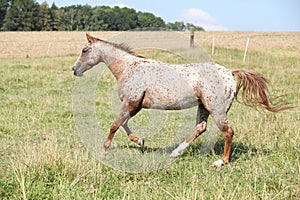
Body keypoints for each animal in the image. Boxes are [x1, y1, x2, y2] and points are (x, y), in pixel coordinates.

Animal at [71, 33, 290, 167]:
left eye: (84, 50)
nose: (74, 70)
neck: (128, 68)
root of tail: (230, 73)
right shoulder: (135, 106)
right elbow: (123, 124)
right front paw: (140, 141)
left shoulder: (131, 103)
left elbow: (115, 125)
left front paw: (102, 152)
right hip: (203, 107)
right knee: (200, 128)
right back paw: (176, 152)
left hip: (217, 111)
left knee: (228, 132)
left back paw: (221, 162)